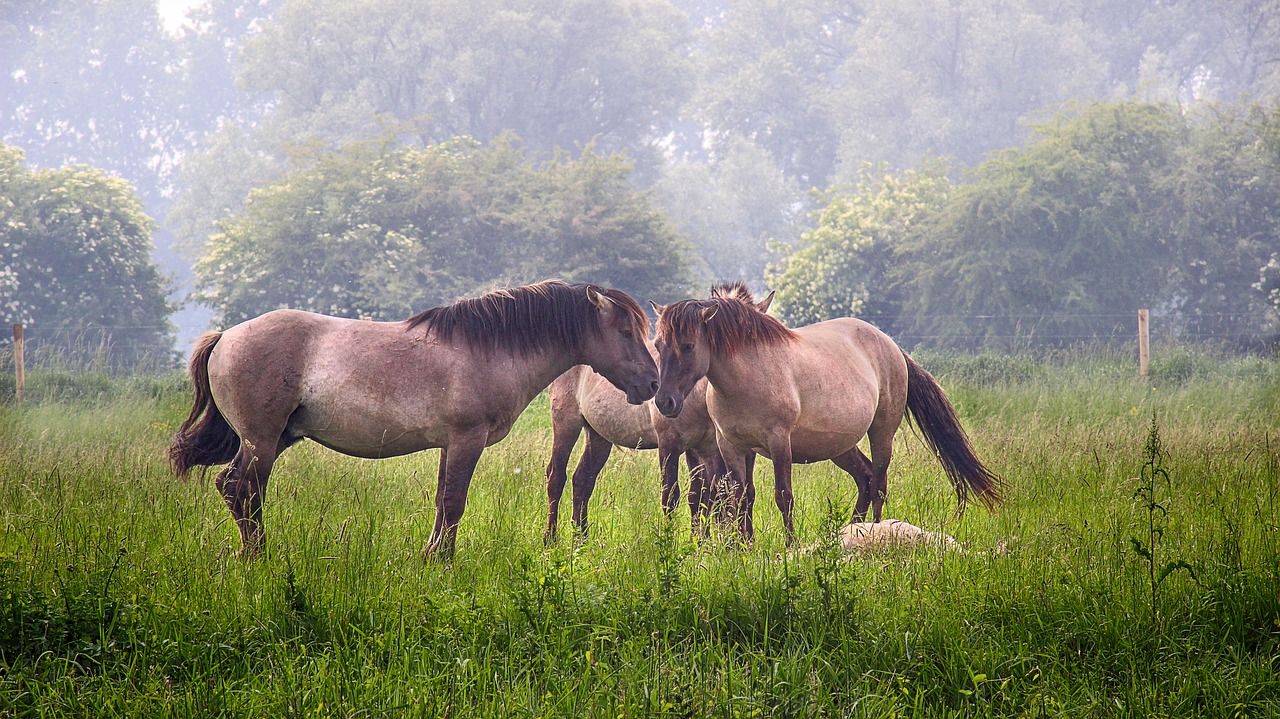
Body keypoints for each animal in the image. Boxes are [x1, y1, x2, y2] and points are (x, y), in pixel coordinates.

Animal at [168, 277, 660, 557]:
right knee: (243, 490)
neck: (490, 349)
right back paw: (259, 558)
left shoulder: (450, 444)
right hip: (261, 441)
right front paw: (444, 561)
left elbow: (442, 501)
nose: (654, 384)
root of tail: (225, 336)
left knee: (237, 490)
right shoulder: (467, 440)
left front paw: (430, 555)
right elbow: (455, 502)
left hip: (273, 439)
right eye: (624, 330)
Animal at [540, 282, 768, 539]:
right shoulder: (671, 444)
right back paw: (551, 539)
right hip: (566, 423)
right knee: (556, 476)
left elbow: (714, 495)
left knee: (582, 480)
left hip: (598, 436)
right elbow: (674, 496)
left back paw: (581, 539)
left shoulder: (710, 447)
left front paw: (709, 541)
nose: (664, 401)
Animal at [655, 291, 1003, 542]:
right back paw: (853, 532)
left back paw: (877, 531)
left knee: (878, 484)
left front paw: (789, 546)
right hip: (841, 447)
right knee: (865, 478)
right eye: (658, 345)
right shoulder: (732, 447)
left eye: (688, 346)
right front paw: (744, 548)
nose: (664, 401)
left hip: (882, 434)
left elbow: (784, 496)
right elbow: (741, 498)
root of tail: (891, 345)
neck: (747, 377)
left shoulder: (780, 443)